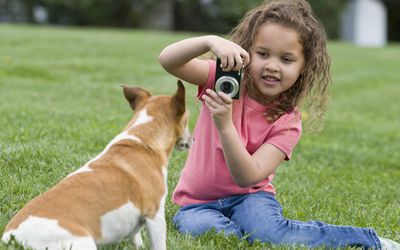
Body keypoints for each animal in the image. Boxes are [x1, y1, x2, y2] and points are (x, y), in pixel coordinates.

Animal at [0, 80, 191, 250]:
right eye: (188, 120)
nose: (192, 140)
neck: (142, 138)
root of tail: (11, 238)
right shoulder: (155, 215)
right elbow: (158, 244)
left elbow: (136, 237)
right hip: (84, 243)